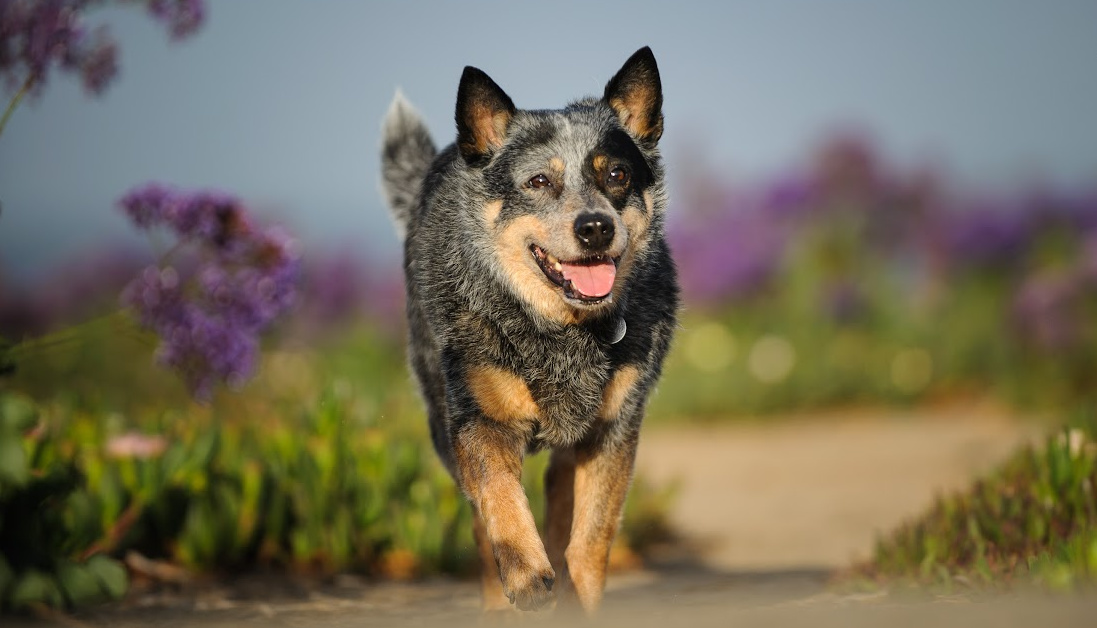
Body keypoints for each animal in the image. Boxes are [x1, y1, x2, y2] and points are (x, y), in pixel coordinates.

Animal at [381, 47, 680, 614]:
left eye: (617, 174)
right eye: (539, 181)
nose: (595, 226)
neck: (560, 330)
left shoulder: (613, 430)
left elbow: (590, 539)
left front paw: (579, 596)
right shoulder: (478, 420)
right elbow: (498, 497)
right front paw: (525, 576)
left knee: (560, 492)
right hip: (439, 418)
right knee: (481, 522)